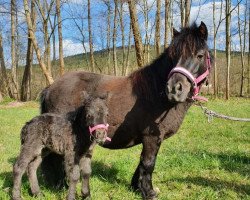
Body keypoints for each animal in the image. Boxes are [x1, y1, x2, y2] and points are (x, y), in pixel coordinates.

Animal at [40, 22, 212, 199]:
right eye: (173, 56)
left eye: (200, 55)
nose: (173, 89)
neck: (156, 94)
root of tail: (50, 88)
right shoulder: (151, 137)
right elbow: (148, 163)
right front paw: (149, 192)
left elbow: (142, 163)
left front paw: (137, 187)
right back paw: (61, 186)